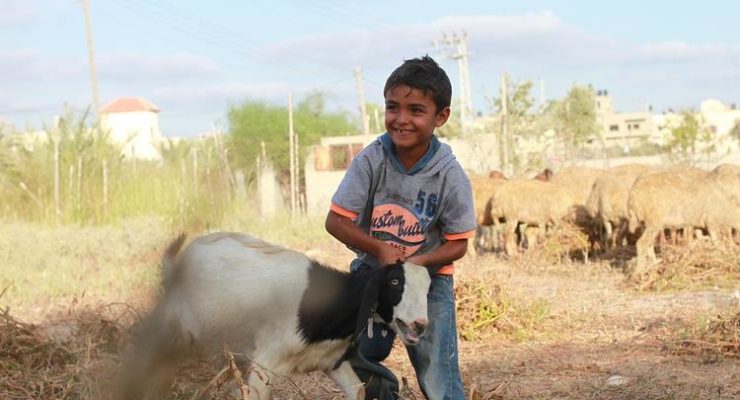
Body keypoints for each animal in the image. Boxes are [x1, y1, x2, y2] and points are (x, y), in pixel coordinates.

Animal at [118, 231, 430, 400]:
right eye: (394, 282)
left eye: (428, 287)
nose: (420, 325)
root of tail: (176, 263)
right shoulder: (264, 364)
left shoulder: (331, 361)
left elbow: (357, 389)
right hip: (171, 329)